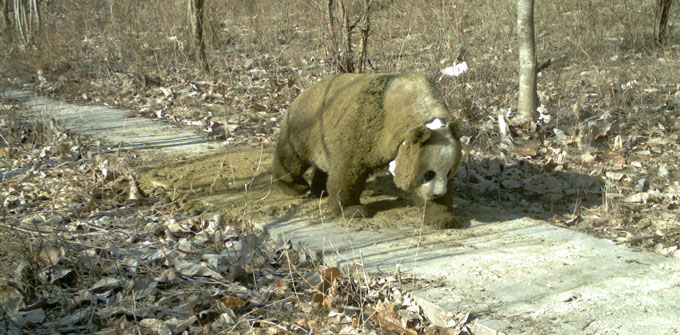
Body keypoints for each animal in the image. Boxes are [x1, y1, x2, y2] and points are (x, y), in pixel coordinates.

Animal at [270, 73, 462, 230]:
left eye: (448, 172)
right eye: (428, 174)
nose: (437, 194)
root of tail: (302, 93)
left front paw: (443, 217)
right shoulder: (367, 125)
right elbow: (347, 169)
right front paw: (352, 210)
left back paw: (320, 189)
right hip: (305, 127)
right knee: (292, 157)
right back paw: (294, 185)